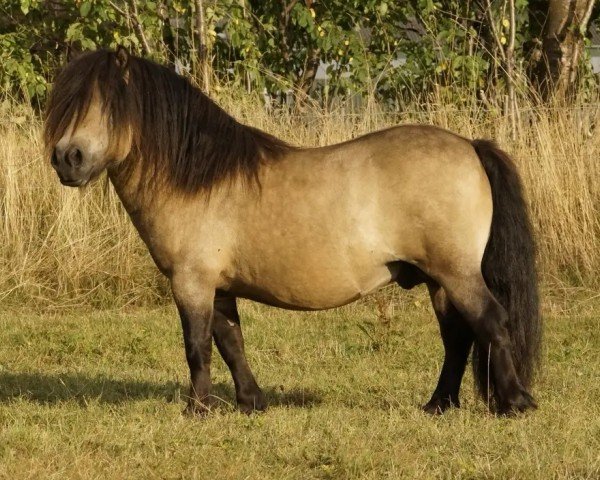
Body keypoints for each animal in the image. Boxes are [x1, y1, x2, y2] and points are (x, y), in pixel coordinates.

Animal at [43, 49, 540, 416]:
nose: (67, 158)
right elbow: (231, 342)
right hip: (438, 279)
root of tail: (470, 147)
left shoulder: (191, 282)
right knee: (458, 336)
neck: (199, 180)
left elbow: (197, 346)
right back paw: (439, 404)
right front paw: (251, 403)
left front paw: (197, 409)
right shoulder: (219, 286)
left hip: (456, 273)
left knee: (490, 322)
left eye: (110, 105)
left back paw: (514, 402)